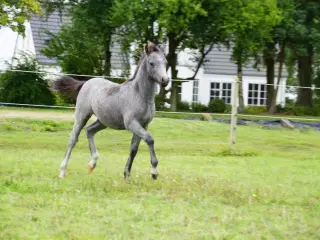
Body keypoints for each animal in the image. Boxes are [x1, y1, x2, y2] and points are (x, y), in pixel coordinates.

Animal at [54, 42, 170, 179]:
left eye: (166, 62)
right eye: (152, 63)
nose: (165, 80)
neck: (140, 95)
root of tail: (86, 82)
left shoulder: (144, 125)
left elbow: (134, 149)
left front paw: (126, 175)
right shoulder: (131, 123)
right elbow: (150, 139)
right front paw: (154, 172)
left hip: (103, 121)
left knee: (89, 130)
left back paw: (92, 163)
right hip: (82, 115)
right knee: (73, 138)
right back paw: (62, 171)